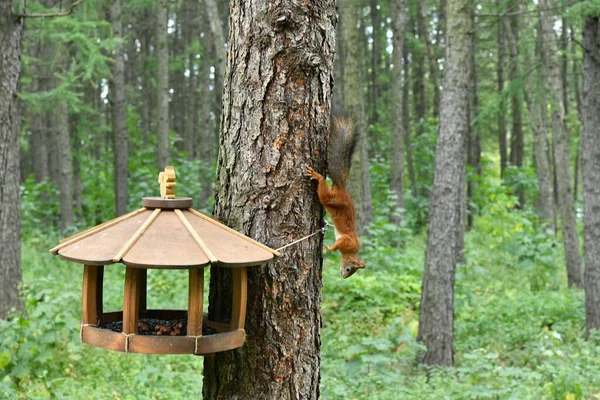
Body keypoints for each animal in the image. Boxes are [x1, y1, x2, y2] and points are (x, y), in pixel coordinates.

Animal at [304, 116, 366, 278]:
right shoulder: (346, 241)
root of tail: (342, 188)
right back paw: (317, 176)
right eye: (349, 269)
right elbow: (335, 246)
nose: (344, 276)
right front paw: (327, 248)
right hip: (330, 198)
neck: (352, 249)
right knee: (323, 190)